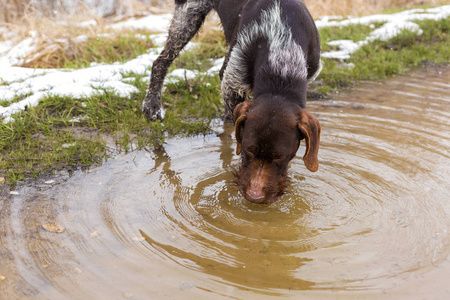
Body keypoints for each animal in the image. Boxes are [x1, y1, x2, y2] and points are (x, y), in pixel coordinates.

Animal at [142, 0, 322, 204]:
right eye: (249, 150)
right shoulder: (233, 84)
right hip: (188, 18)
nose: (254, 196)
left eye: (280, 156)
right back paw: (152, 106)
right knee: (160, 63)